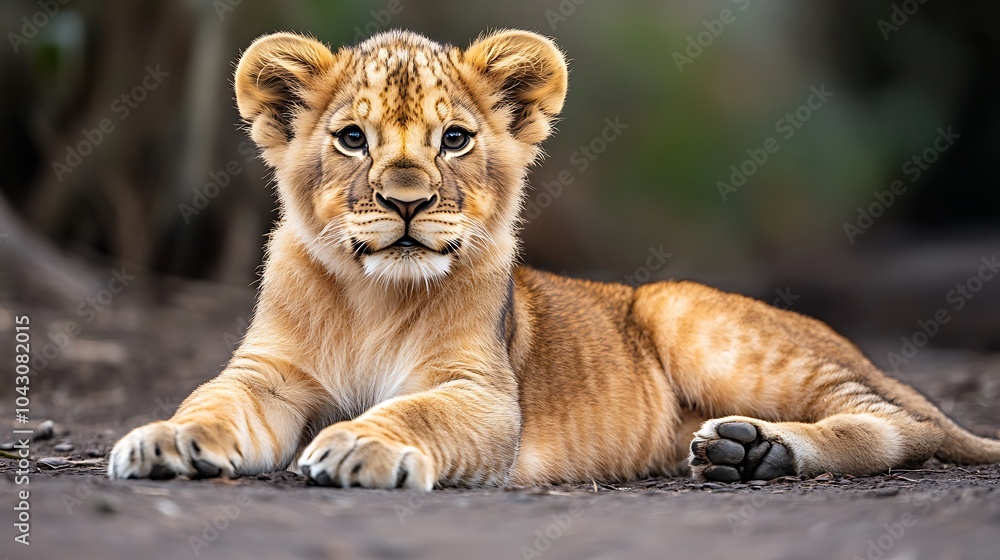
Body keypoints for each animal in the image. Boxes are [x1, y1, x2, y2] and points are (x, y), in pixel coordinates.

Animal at [108, 29, 1000, 489]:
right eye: (353, 138)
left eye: (454, 139)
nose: (406, 200)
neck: (372, 295)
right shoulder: (266, 376)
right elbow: (209, 402)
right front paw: (161, 441)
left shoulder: (480, 392)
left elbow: (412, 412)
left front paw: (361, 445)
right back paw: (745, 451)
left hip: (697, 315)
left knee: (906, 424)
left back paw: (765, 448)